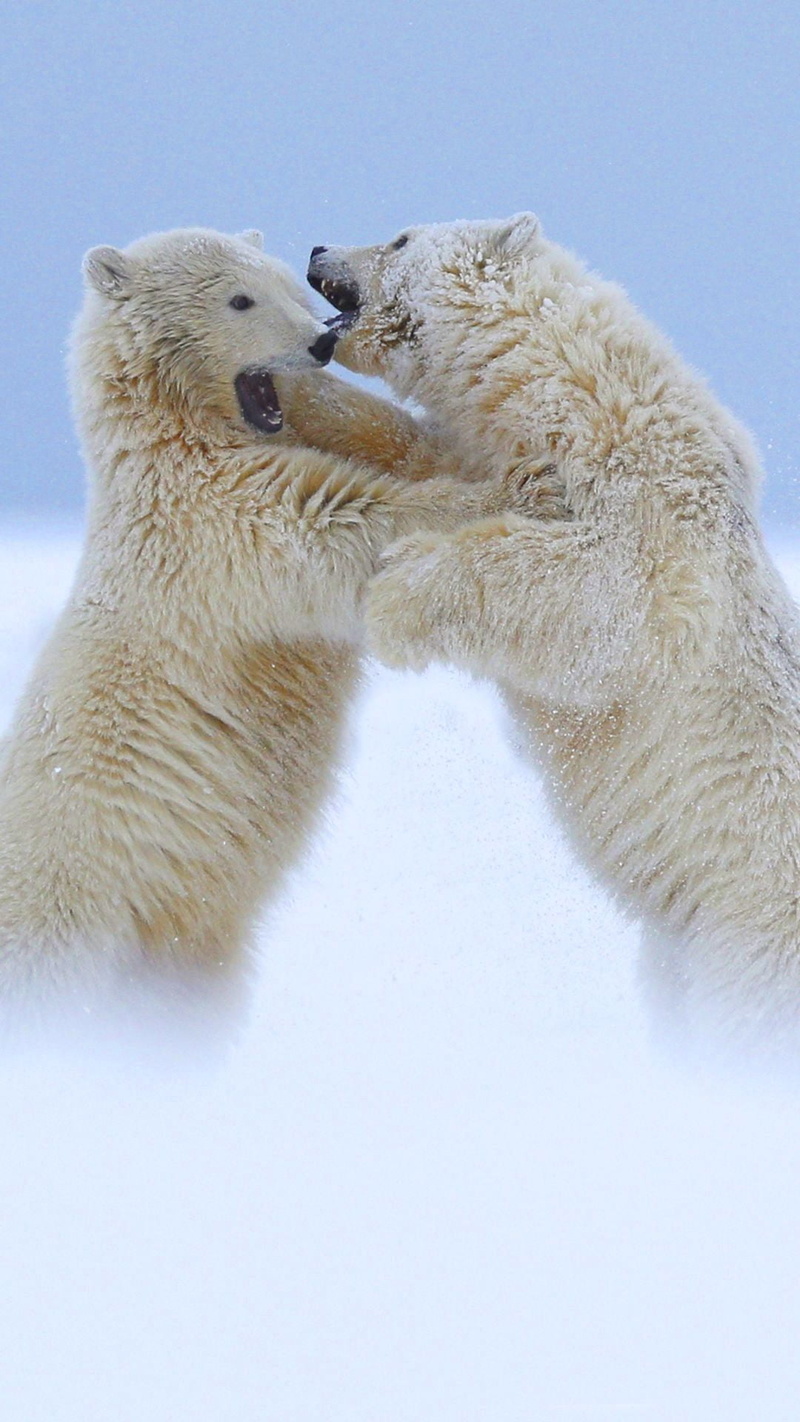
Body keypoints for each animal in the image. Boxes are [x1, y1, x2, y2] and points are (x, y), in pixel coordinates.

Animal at [0, 225, 515, 1010]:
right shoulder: (206, 523)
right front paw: (509, 495)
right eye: (239, 298)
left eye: (285, 281)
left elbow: (387, 441)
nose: (321, 341)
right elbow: (340, 521)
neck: (175, 431)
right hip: (72, 899)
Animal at [309, 215, 800, 1058]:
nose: (314, 251)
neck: (573, 391)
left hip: (753, 934)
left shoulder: (657, 512)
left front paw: (399, 593)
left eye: (400, 237)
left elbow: (600, 598)